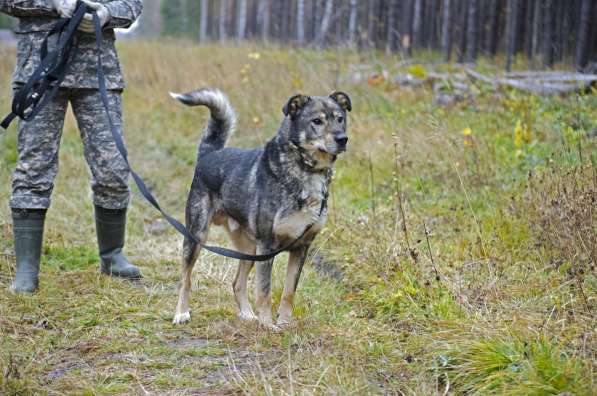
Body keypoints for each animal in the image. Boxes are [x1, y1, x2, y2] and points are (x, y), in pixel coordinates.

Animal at [169, 88, 350, 330]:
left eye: (340, 119)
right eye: (317, 121)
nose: (342, 139)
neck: (306, 172)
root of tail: (209, 154)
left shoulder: (301, 246)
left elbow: (288, 292)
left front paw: (284, 323)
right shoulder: (268, 244)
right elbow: (264, 291)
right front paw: (267, 325)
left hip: (249, 248)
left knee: (237, 283)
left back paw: (247, 315)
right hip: (197, 235)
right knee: (185, 278)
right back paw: (181, 313)